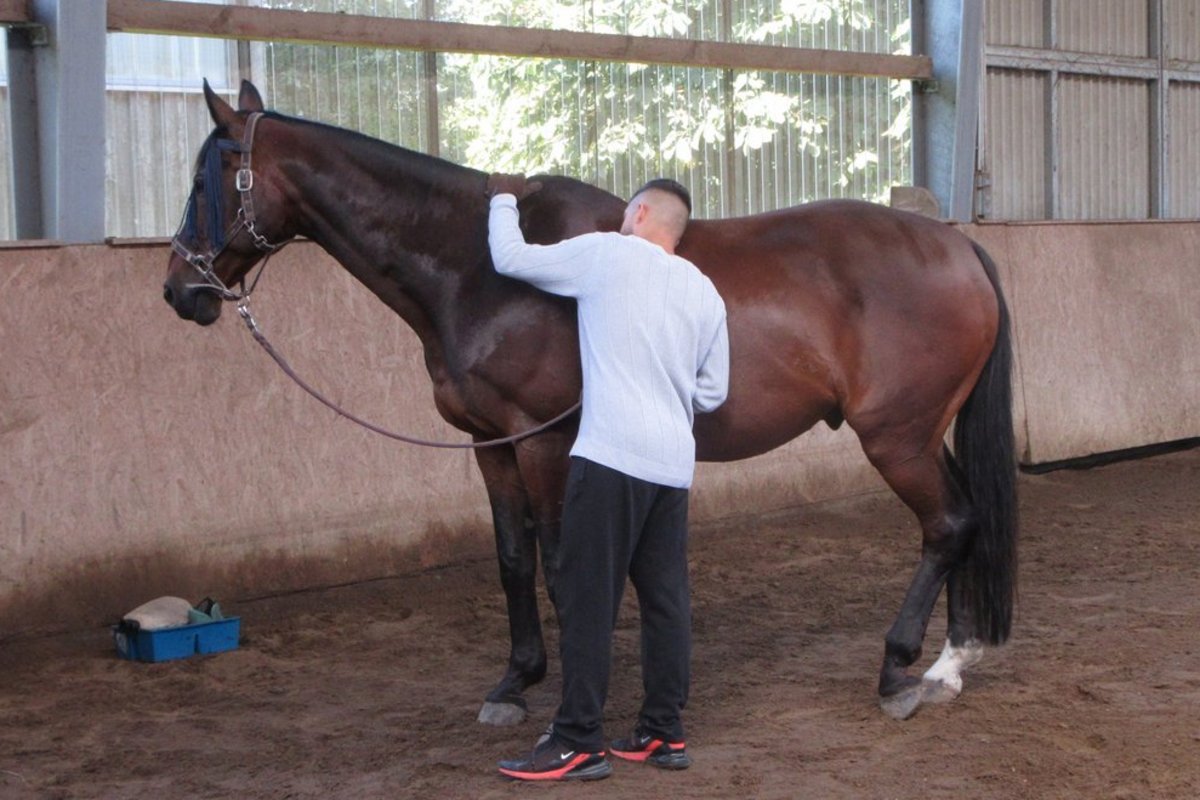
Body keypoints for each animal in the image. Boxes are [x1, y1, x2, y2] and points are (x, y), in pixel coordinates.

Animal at [163, 80, 1017, 724]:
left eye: (208, 180)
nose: (180, 290)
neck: (480, 268)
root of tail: (956, 245)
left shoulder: (542, 441)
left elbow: (559, 559)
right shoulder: (491, 444)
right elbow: (513, 560)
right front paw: (515, 682)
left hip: (895, 437)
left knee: (946, 525)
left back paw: (899, 669)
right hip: (924, 433)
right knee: (967, 518)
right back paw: (950, 662)